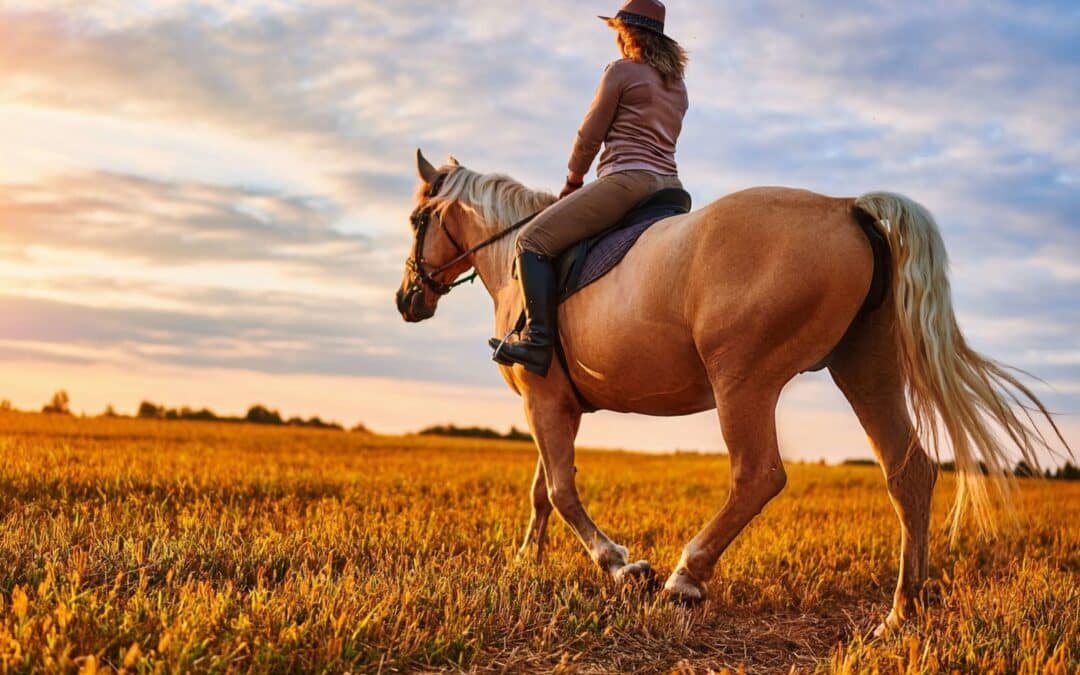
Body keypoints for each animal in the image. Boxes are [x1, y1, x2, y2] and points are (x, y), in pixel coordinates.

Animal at [395, 149, 1067, 634]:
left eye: (415, 219)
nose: (406, 300)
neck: (515, 257)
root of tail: (848, 208)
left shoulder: (542, 400)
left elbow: (559, 490)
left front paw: (623, 567)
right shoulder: (553, 404)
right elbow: (542, 490)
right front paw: (525, 562)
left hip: (743, 379)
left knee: (758, 474)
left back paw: (684, 578)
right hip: (865, 368)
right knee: (910, 473)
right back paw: (902, 614)